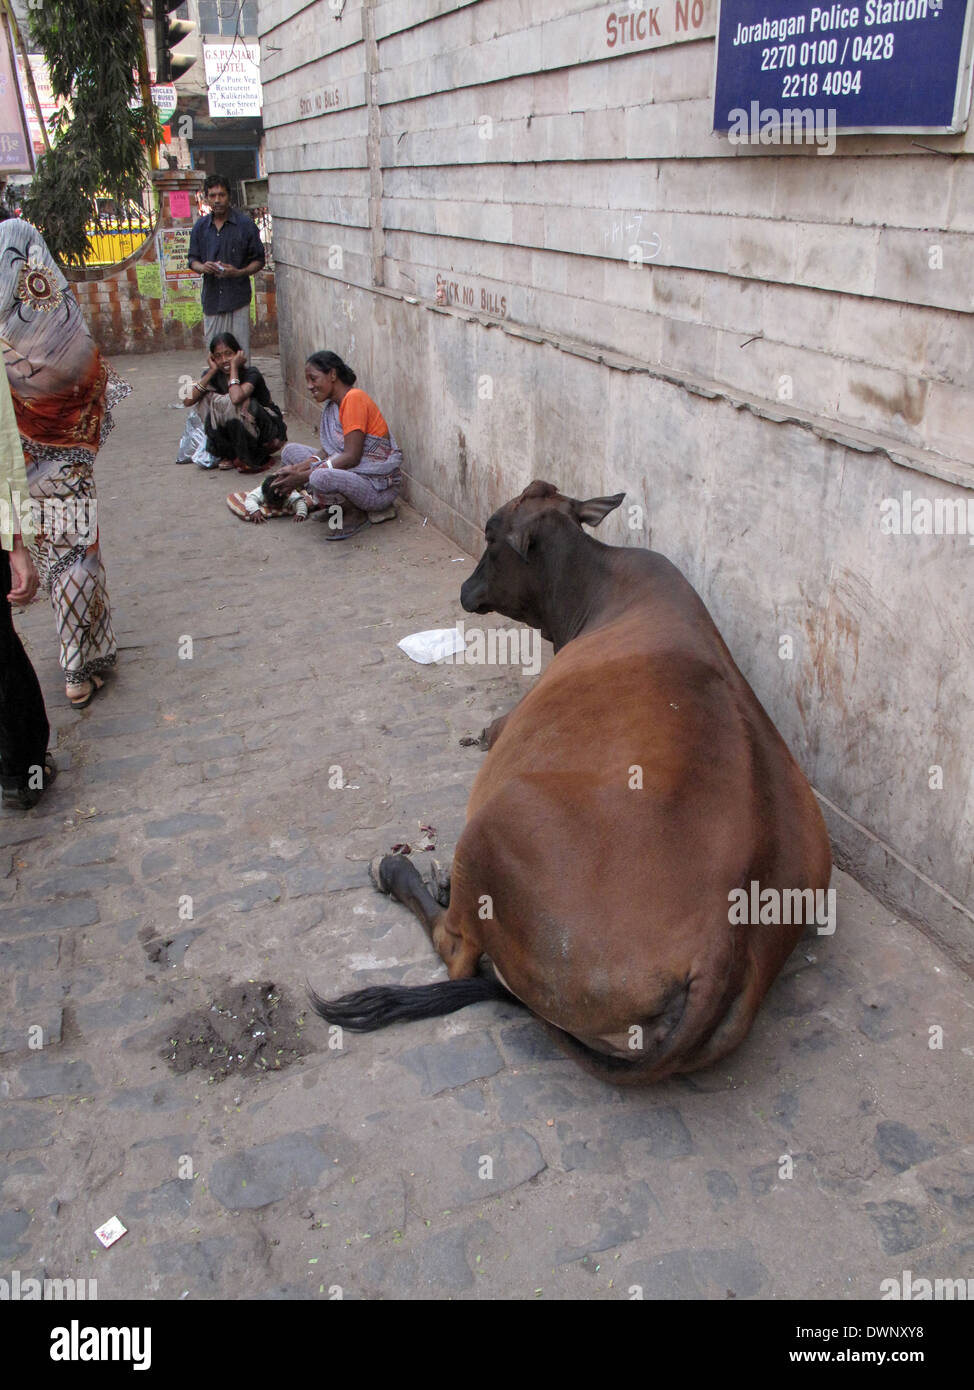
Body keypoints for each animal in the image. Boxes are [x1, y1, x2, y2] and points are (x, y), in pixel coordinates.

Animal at [311, 480, 828, 1084]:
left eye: (491, 535)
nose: (465, 589)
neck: (596, 587)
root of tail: (724, 947)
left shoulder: (509, 723)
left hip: (492, 828)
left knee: (456, 947)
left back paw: (398, 872)